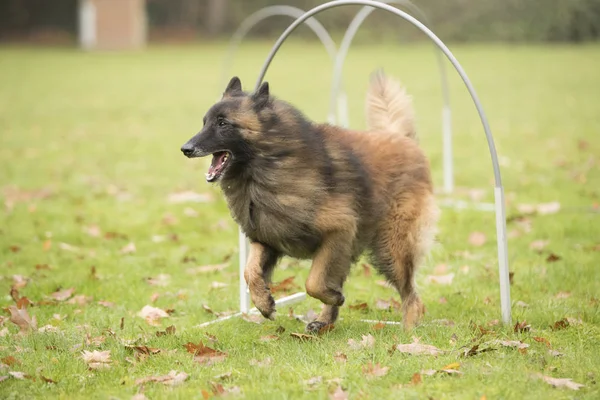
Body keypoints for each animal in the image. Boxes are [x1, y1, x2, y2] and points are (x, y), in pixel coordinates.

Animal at [180, 71, 438, 332]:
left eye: (223, 124)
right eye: (205, 122)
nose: (185, 149)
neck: (269, 163)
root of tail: (401, 139)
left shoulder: (339, 232)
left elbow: (313, 282)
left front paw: (333, 296)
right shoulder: (266, 236)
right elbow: (249, 271)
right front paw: (264, 303)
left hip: (392, 249)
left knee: (412, 295)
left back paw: (407, 331)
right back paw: (324, 322)